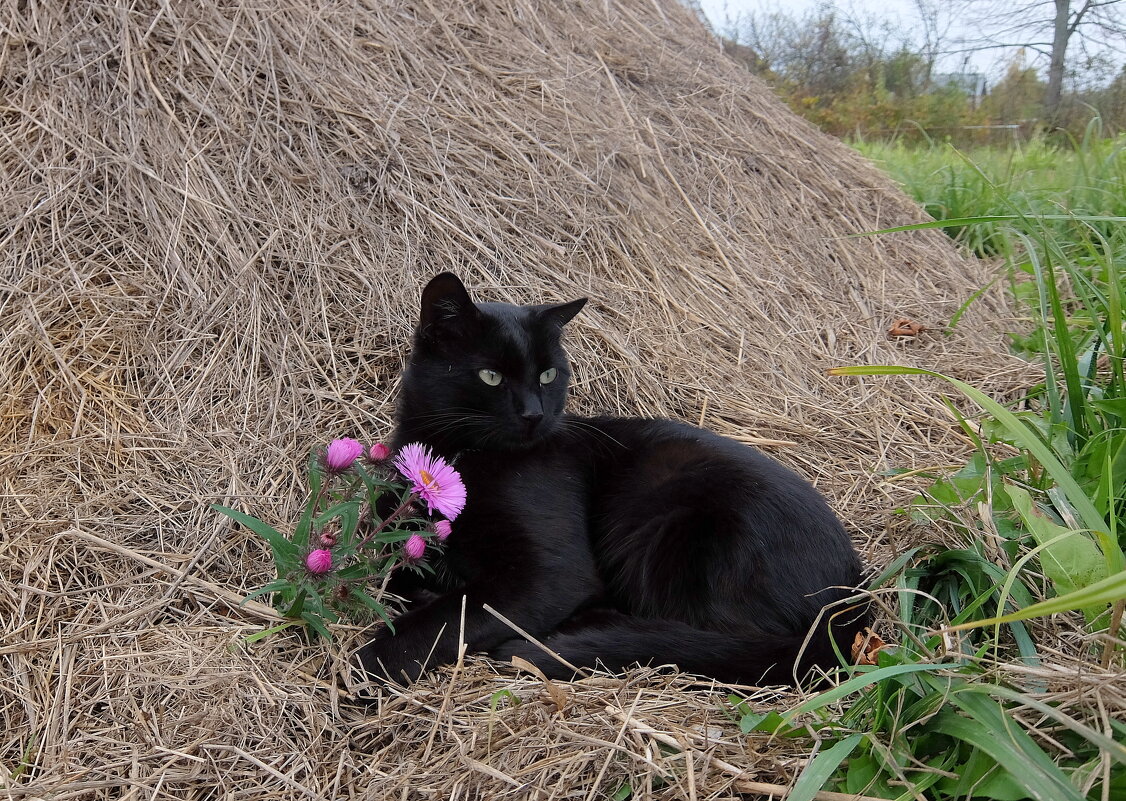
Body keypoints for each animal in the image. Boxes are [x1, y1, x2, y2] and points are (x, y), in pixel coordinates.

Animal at [360, 272, 869, 684]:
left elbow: (453, 615)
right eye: (490, 376)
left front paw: (370, 661)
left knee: (712, 638)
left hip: (675, 528)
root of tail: (851, 604)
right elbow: (396, 570)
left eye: (548, 374)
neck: (456, 455)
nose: (534, 414)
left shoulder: (550, 575)